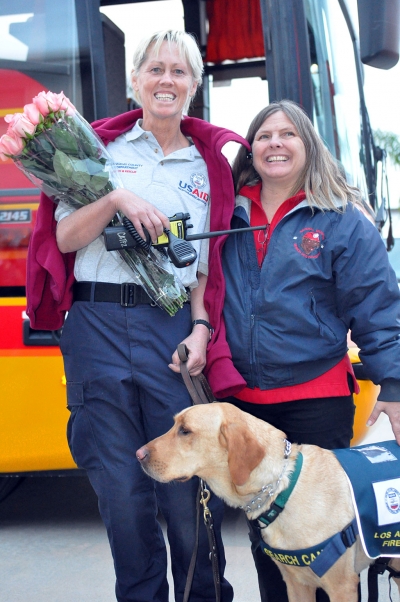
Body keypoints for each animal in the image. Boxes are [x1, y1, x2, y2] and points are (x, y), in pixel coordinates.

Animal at [137, 398, 400, 600]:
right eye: (174, 425)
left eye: (185, 430)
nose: (138, 455)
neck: (281, 489)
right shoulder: (297, 584)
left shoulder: (342, 587)